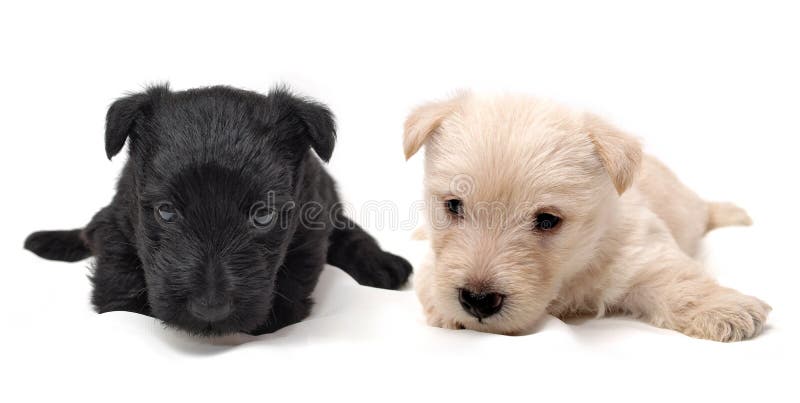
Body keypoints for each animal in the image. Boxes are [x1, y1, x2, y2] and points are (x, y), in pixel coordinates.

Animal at [25, 85, 412, 338]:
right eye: (166, 213)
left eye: (262, 216)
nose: (210, 308)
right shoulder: (119, 220)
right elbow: (117, 267)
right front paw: (124, 304)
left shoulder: (310, 226)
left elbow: (298, 270)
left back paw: (382, 263)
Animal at [406, 93, 768, 342]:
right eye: (454, 205)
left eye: (548, 220)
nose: (478, 301)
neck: (573, 270)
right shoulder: (433, 266)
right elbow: (428, 284)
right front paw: (445, 314)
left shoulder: (643, 252)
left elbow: (680, 280)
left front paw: (725, 308)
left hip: (688, 205)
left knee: (705, 210)